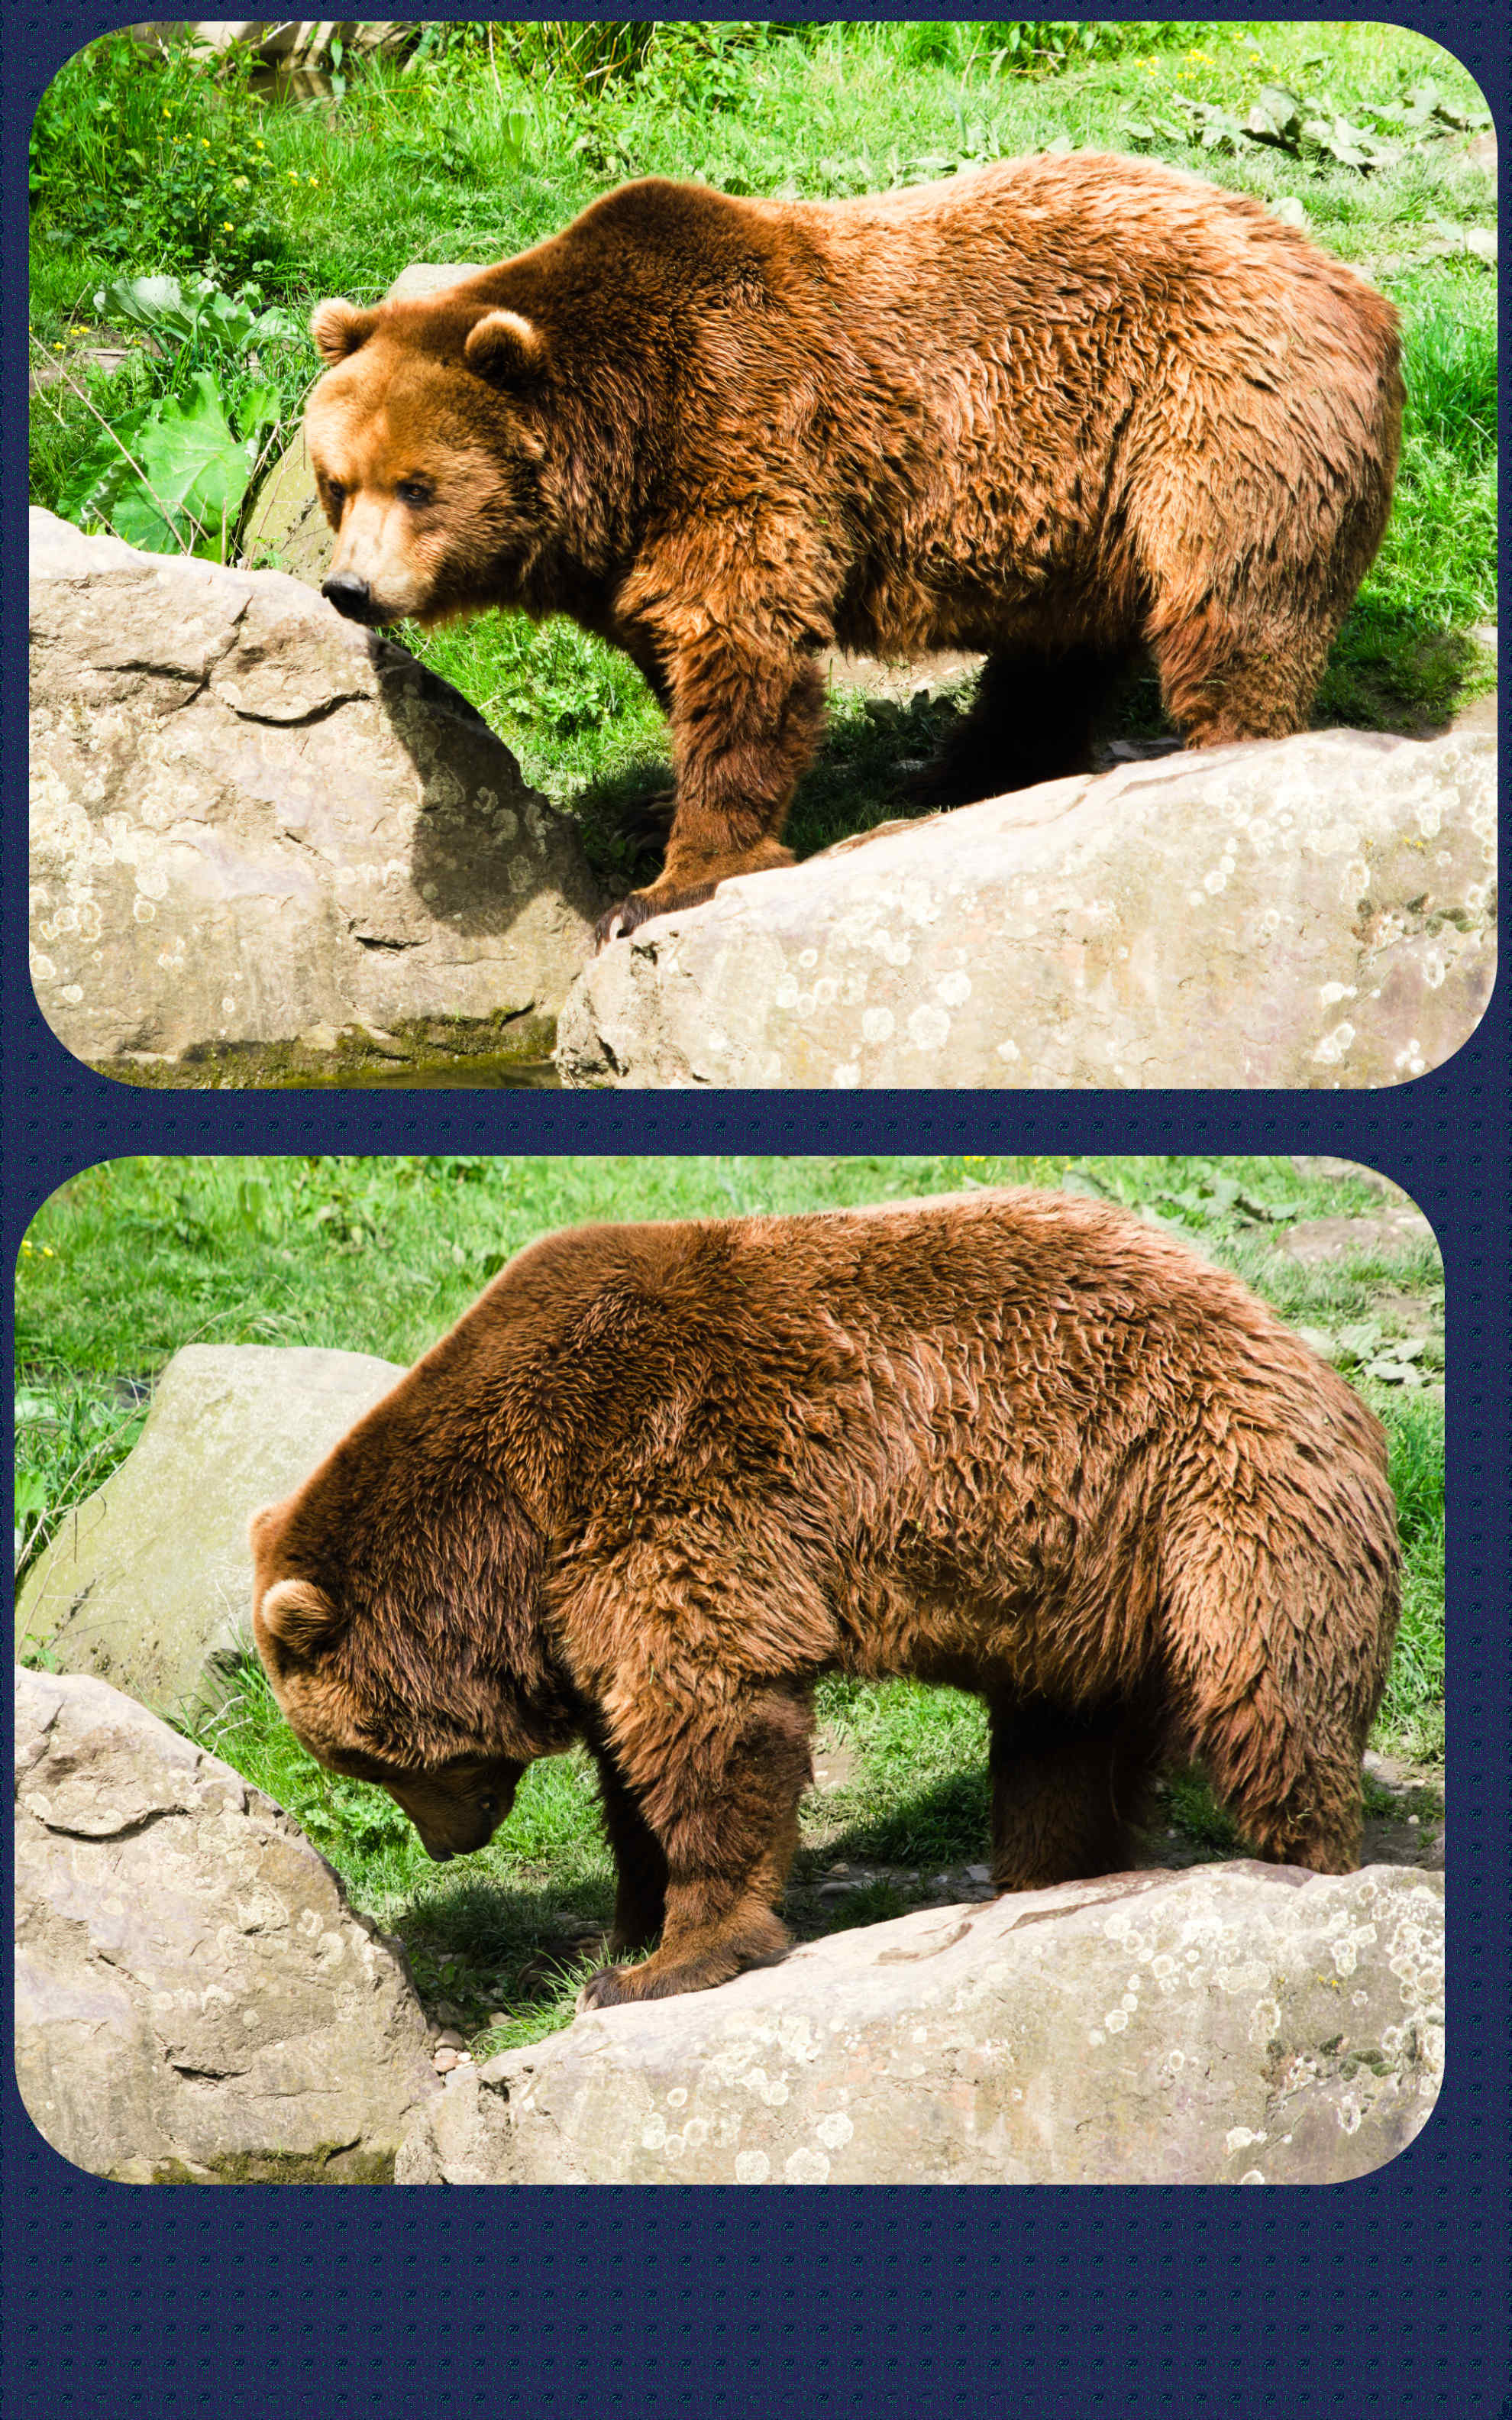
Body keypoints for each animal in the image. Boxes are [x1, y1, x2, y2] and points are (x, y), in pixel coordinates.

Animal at [250, 1187, 1401, 2010]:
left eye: (362, 1756)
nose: (452, 1845)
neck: (507, 1527)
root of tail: (1292, 1341)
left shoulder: (666, 1480)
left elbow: (707, 1715)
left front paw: (664, 1960)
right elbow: (632, 1763)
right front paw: (625, 1924)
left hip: (1210, 1493)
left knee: (1266, 1697)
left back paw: (1303, 1867)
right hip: (1085, 1588)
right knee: (1061, 1752)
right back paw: (1052, 1881)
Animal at [304, 153, 1402, 942]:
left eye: (418, 486)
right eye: (337, 482)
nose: (349, 588)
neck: (622, 451)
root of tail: (1355, 284)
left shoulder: (741, 440)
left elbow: (743, 659)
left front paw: (670, 880)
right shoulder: (638, 540)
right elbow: (679, 656)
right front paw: (664, 810)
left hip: (1212, 415)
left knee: (1230, 604)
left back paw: (1210, 762)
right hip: (1090, 500)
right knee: (1060, 650)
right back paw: (966, 771)